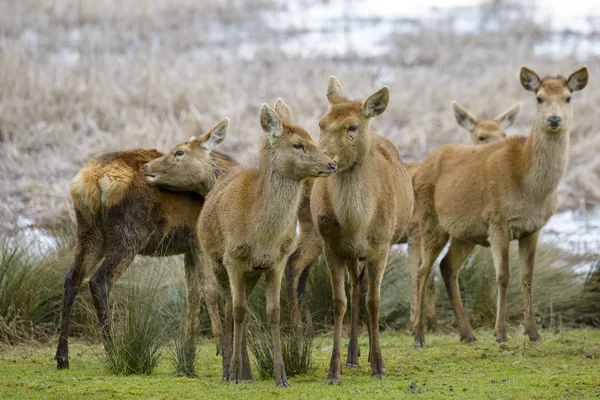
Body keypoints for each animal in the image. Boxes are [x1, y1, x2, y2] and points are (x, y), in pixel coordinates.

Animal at [55, 118, 234, 376]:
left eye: (179, 152)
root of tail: (91, 180)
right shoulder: (200, 242)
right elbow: (210, 290)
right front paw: (220, 347)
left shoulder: (188, 249)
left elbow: (192, 295)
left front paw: (188, 361)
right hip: (129, 234)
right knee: (99, 281)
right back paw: (114, 352)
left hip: (89, 232)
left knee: (72, 278)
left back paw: (62, 357)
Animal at [198, 99, 336, 388]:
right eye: (298, 144)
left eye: (312, 137)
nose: (332, 165)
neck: (259, 235)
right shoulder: (233, 259)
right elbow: (238, 311)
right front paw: (233, 373)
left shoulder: (277, 261)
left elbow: (273, 312)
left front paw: (281, 376)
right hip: (214, 260)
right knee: (229, 307)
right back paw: (230, 370)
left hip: (252, 274)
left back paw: (247, 373)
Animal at [310, 76, 412, 382]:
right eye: (321, 123)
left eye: (352, 127)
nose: (326, 161)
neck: (357, 224)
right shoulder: (330, 245)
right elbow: (338, 301)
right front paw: (334, 370)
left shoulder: (382, 244)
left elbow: (375, 302)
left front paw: (379, 366)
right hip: (351, 254)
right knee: (356, 286)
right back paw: (353, 356)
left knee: (364, 288)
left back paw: (365, 356)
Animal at [412, 65, 592, 346]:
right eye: (538, 97)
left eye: (568, 97)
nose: (554, 120)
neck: (531, 190)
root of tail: (419, 169)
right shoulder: (497, 221)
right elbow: (503, 276)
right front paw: (500, 333)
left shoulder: (534, 228)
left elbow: (527, 277)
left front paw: (533, 333)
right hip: (430, 220)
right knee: (423, 270)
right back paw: (419, 335)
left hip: (465, 233)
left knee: (447, 267)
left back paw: (467, 334)